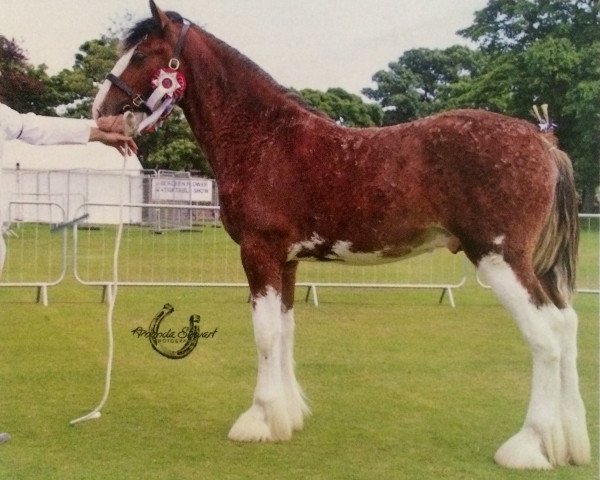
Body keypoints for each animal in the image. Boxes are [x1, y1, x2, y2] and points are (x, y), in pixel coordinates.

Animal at [94, 0, 592, 470]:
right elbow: (286, 330)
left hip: (499, 259)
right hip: (534, 267)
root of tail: (543, 142)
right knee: (568, 326)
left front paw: (258, 419)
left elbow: (265, 335)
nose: (101, 111)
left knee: (546, 339)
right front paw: (288, 416)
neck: (264, 138)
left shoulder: (259, 253)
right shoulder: (287, 261)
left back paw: (527, 446)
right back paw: (569, 443)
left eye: (142, 54)